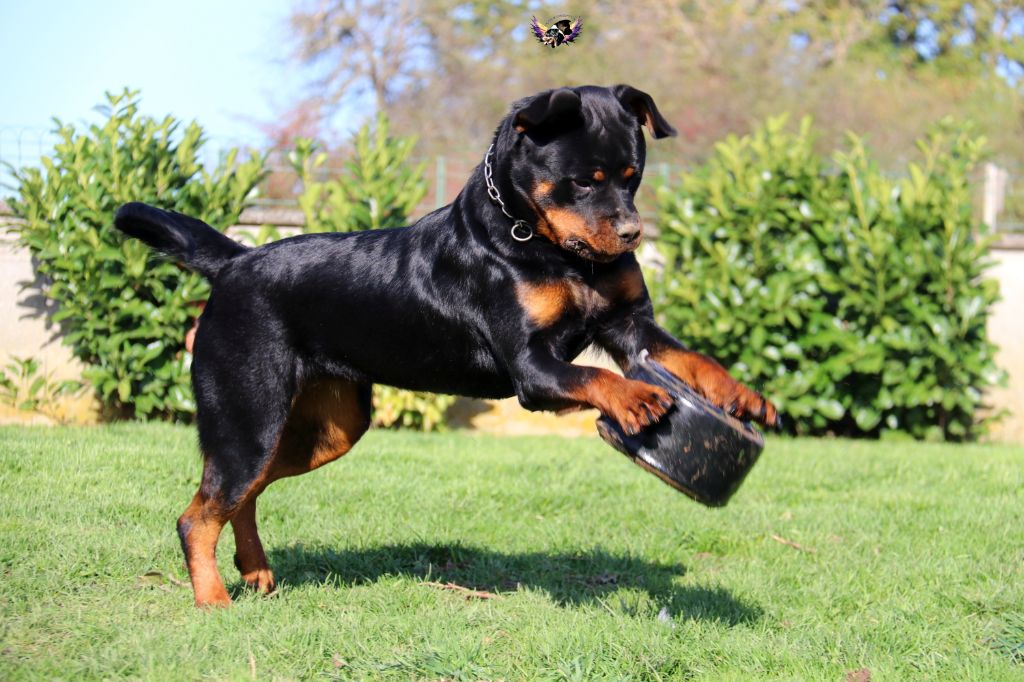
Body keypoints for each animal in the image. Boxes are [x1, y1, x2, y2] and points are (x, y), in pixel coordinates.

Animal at [114, 84, 779, 607]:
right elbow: (599, 377)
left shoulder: (629, 325)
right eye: (582, 183)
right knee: (199, 514)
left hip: (326, 427)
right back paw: (213, 601)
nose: (632, 232)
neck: (548, 247)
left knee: (241, 497)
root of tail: (235, 262)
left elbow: (689, 357)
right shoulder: (533, 366)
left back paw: (255, 574)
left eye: (633, 178)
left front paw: (743, 395)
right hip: (248, 415)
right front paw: (635, 399)